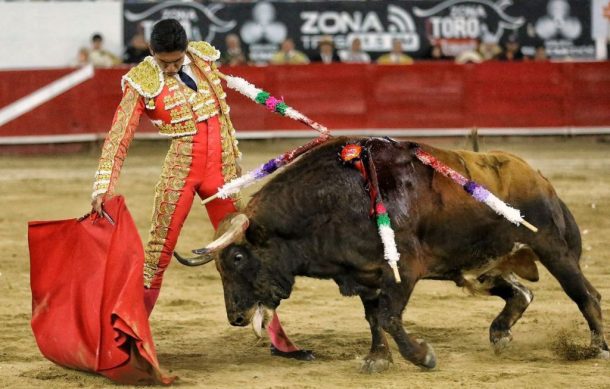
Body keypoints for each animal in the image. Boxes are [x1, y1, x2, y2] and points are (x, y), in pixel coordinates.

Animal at [173, 136, 604, 370]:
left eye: (238, 258)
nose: (236, 317)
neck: (334, 200)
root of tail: (540, 177)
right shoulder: (365, 275)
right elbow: (374, 318)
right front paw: (378, 358)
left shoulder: (403, 269)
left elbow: (390, 316)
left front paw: (421, 356)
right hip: (479, 265)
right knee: (521, 292)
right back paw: (500, 334)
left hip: (552, 247)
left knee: (585, 294)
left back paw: (597, 348)